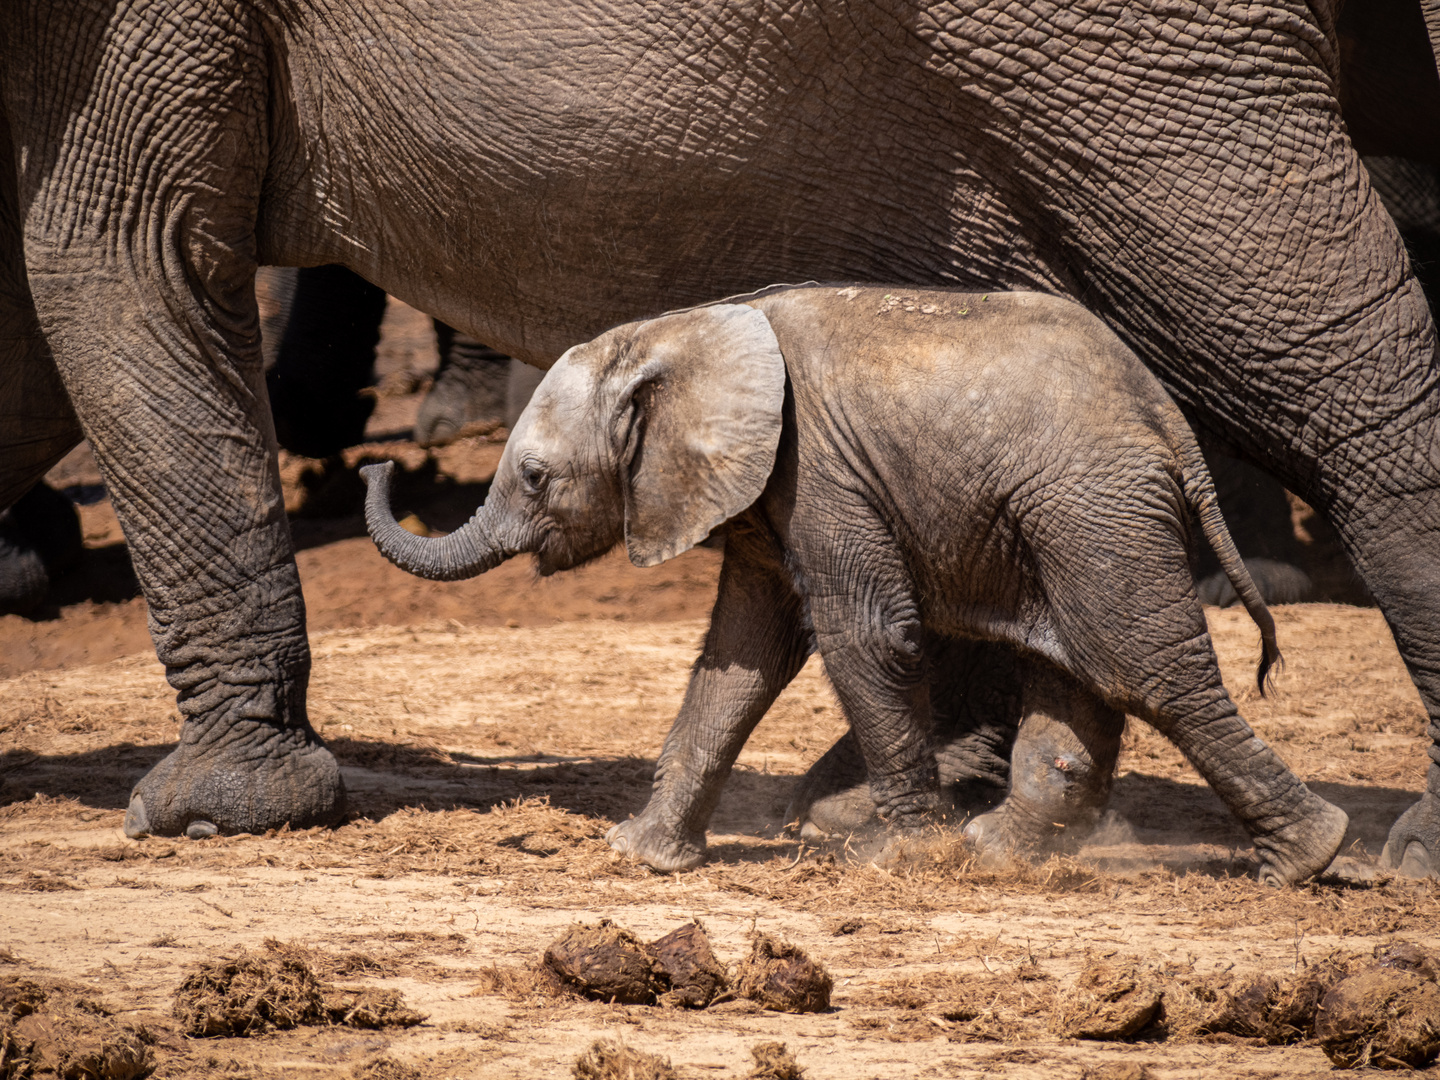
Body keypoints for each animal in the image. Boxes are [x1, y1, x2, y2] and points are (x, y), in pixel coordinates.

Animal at [362, 285, 1347, 887]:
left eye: (533, 478)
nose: (381, 462)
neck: (686, 330)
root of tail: (1171, 422)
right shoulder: (763, 493)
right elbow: (741, 657)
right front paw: (642, 857)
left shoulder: (821, 471)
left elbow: (866, 635)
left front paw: (900, 858)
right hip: (1062, 515)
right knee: (1081, 668)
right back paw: (1004, 852)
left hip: (1093, 504)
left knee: (1140, 666)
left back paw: (1309, 858)